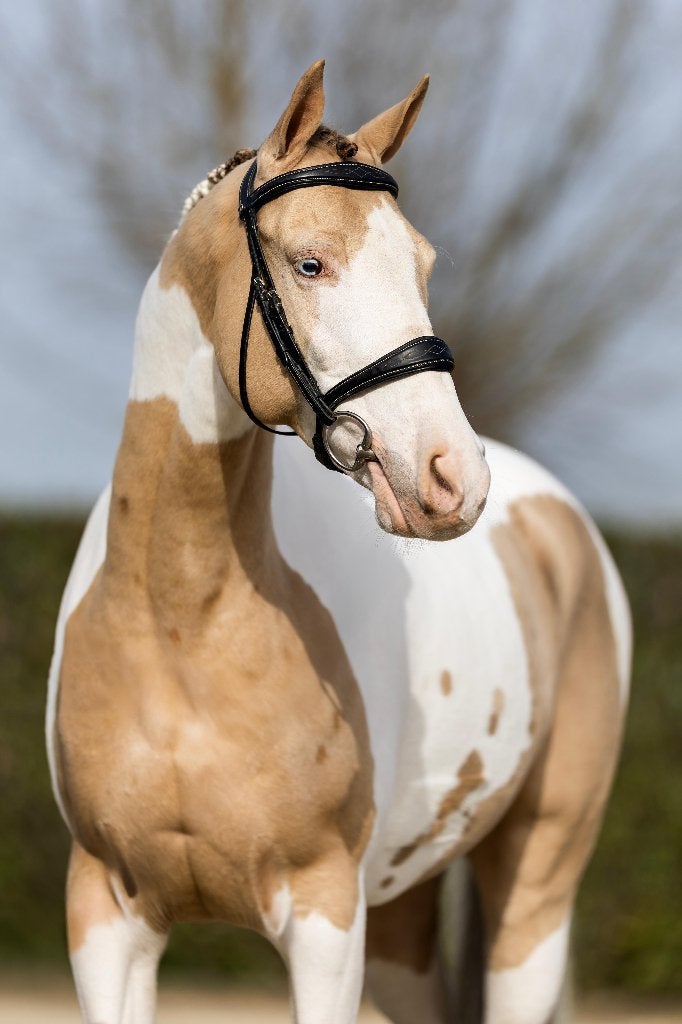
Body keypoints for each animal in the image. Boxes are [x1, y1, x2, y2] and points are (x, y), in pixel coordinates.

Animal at [46, 60, 631, 1024]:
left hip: (533, 894)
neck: (178, 621)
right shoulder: (107, 918)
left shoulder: (324, 918)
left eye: (421, 262)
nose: (451, 475)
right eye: (309, 262)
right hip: (402, 921)